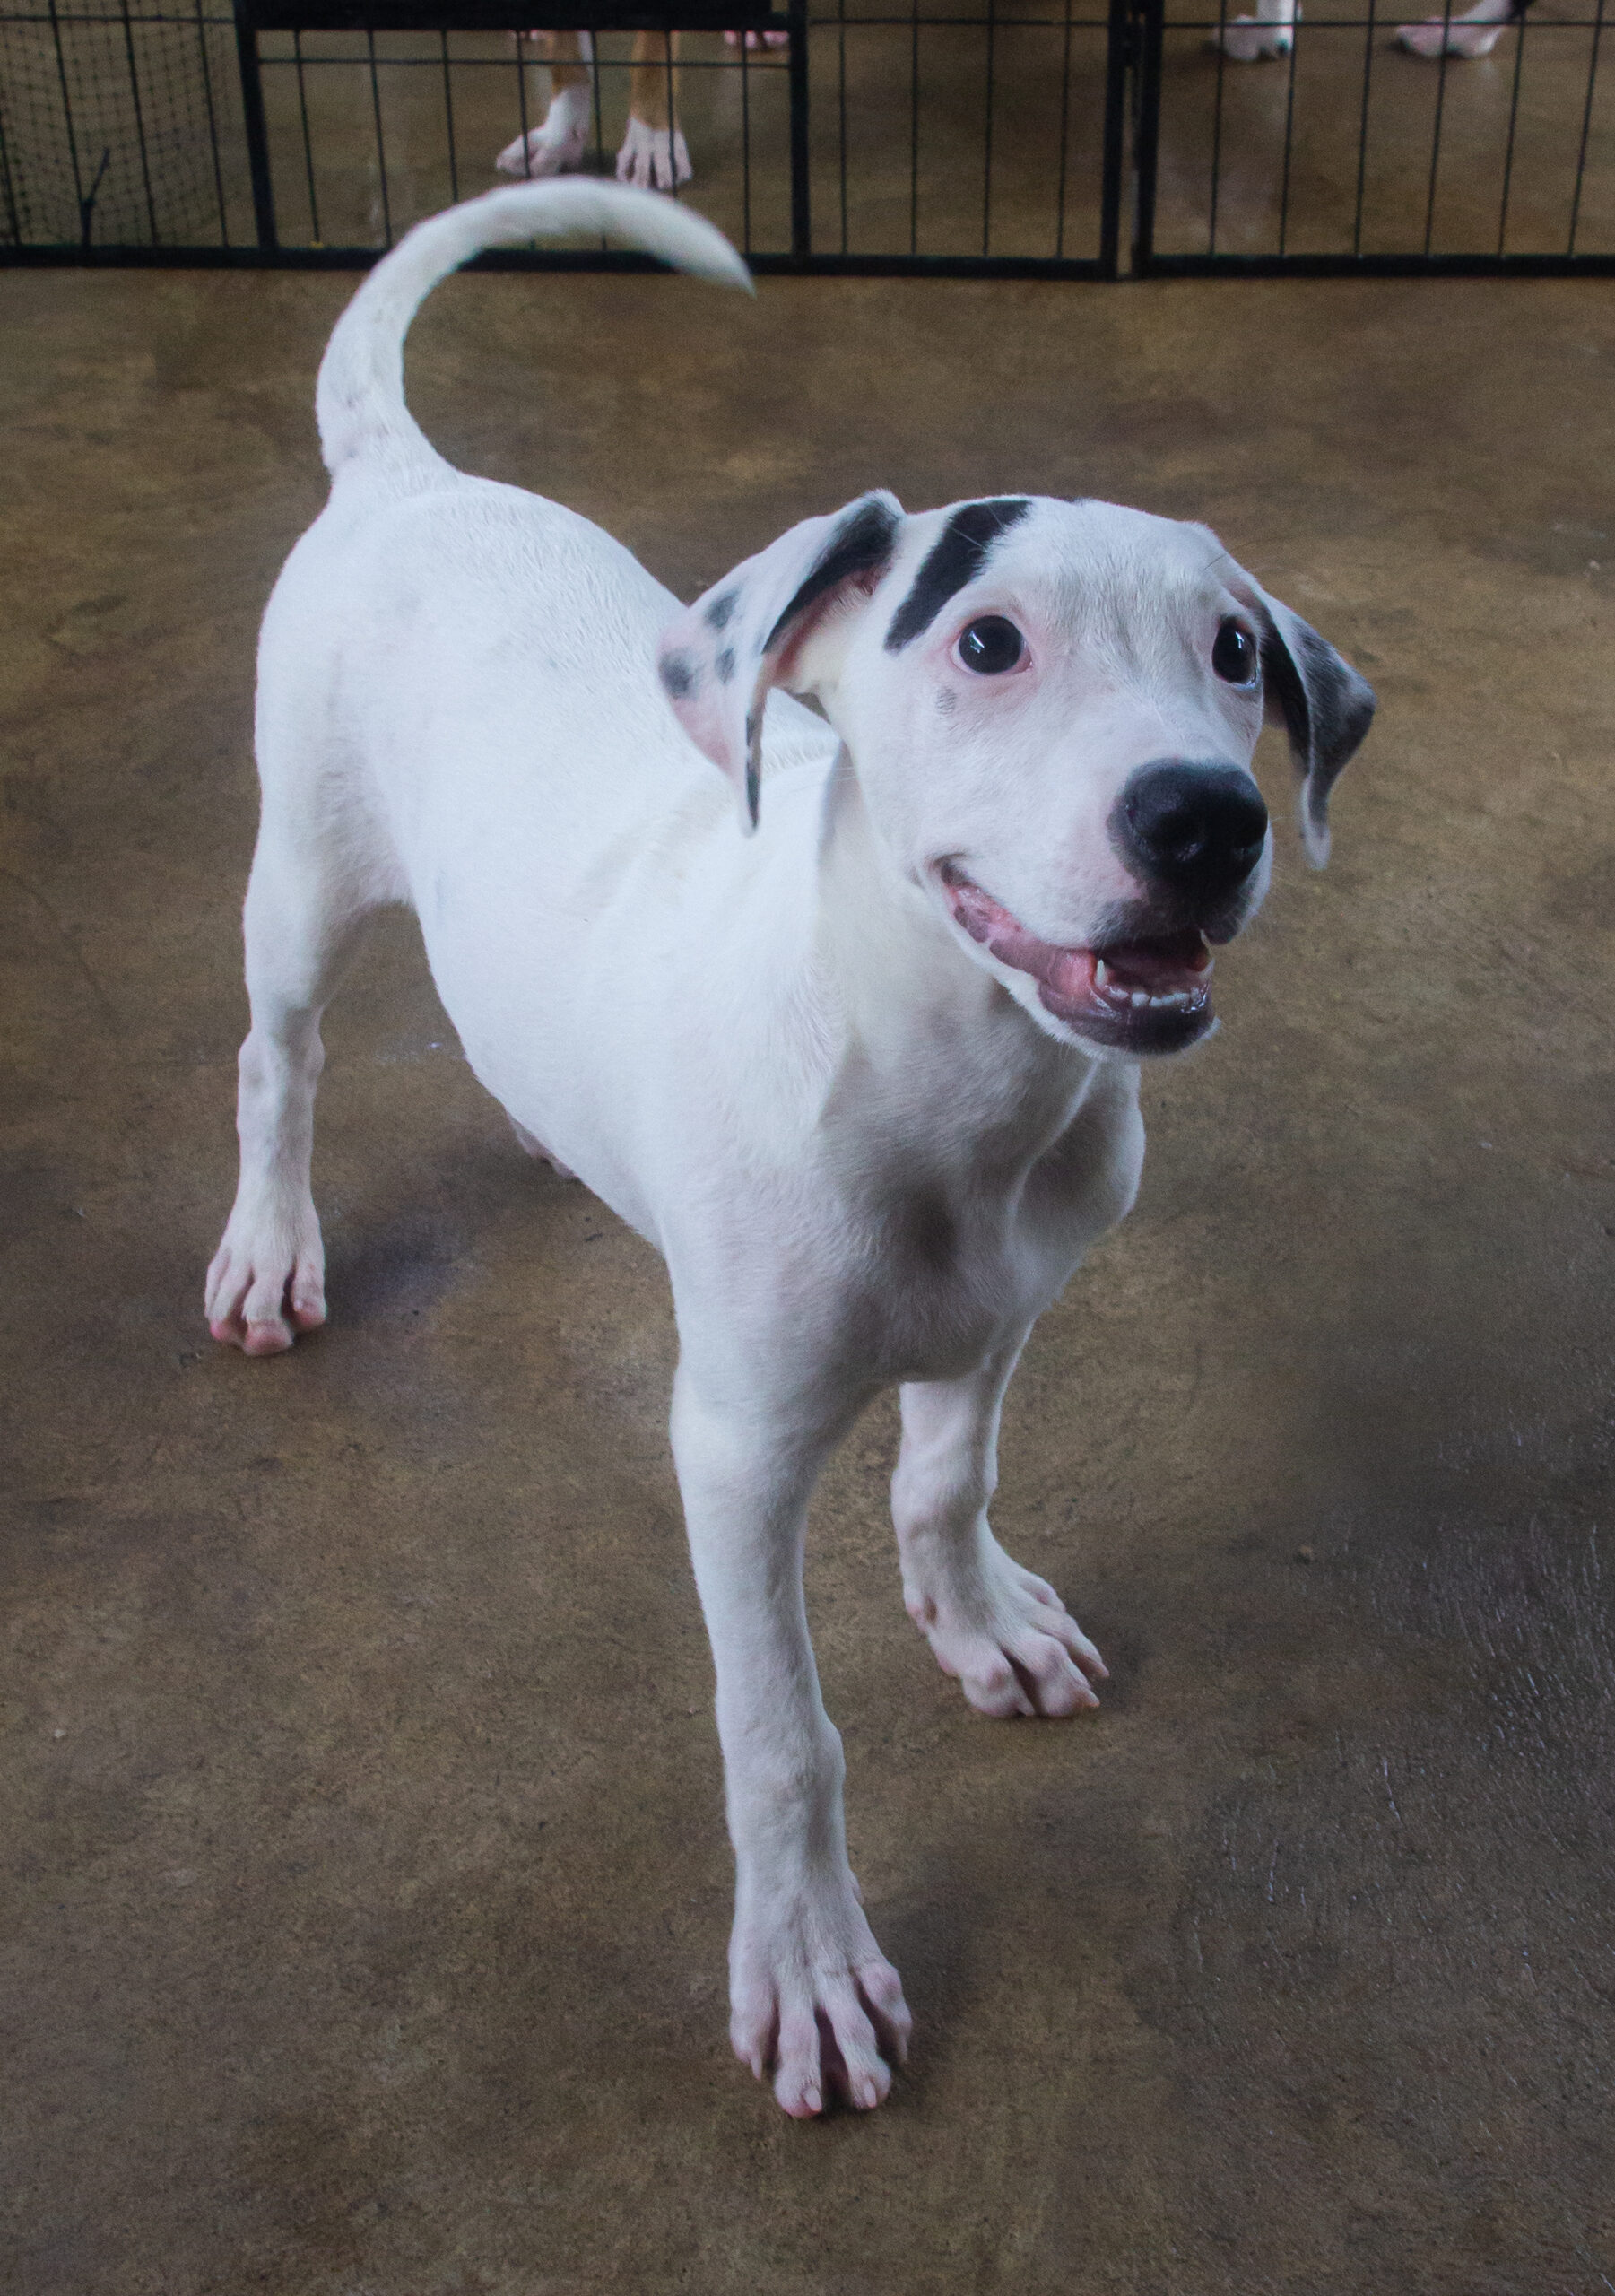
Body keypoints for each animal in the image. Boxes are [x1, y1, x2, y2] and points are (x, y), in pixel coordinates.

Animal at [208, 178, 1376, 2112]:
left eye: (1232, 653)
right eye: (987, 642)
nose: (1206, 822)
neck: (944, 1084)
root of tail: (409, 476)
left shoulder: (1003, 1314)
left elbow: (944, 1478)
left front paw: (977, 1618)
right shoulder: (734, 1450)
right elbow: (784, 1736)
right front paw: (812, 1960)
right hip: (297, 877)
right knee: (276, 1059)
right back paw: (268, 1242)